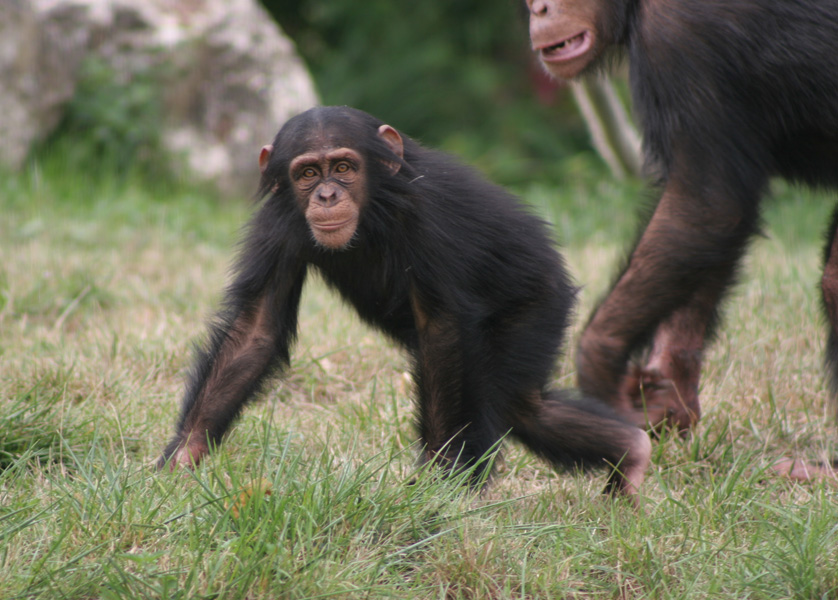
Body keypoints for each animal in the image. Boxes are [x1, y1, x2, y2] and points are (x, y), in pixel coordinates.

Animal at [159, 106, 656, 496]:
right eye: (307, 173)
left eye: (343, 167)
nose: (326, 194)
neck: (376, 204)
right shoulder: (275, 225)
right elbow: (254, 329)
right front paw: (185, 455)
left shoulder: (427, 219)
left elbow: (441, 328)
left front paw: (436, 479)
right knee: (527, 409)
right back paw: (630, 450)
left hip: (540, 304)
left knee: (512, 397)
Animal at [528, 0, 836, 440]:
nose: (538, 8)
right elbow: (709, 227)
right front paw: (669, 393)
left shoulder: (676, 36)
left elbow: (705, 205)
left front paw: (600, 367)